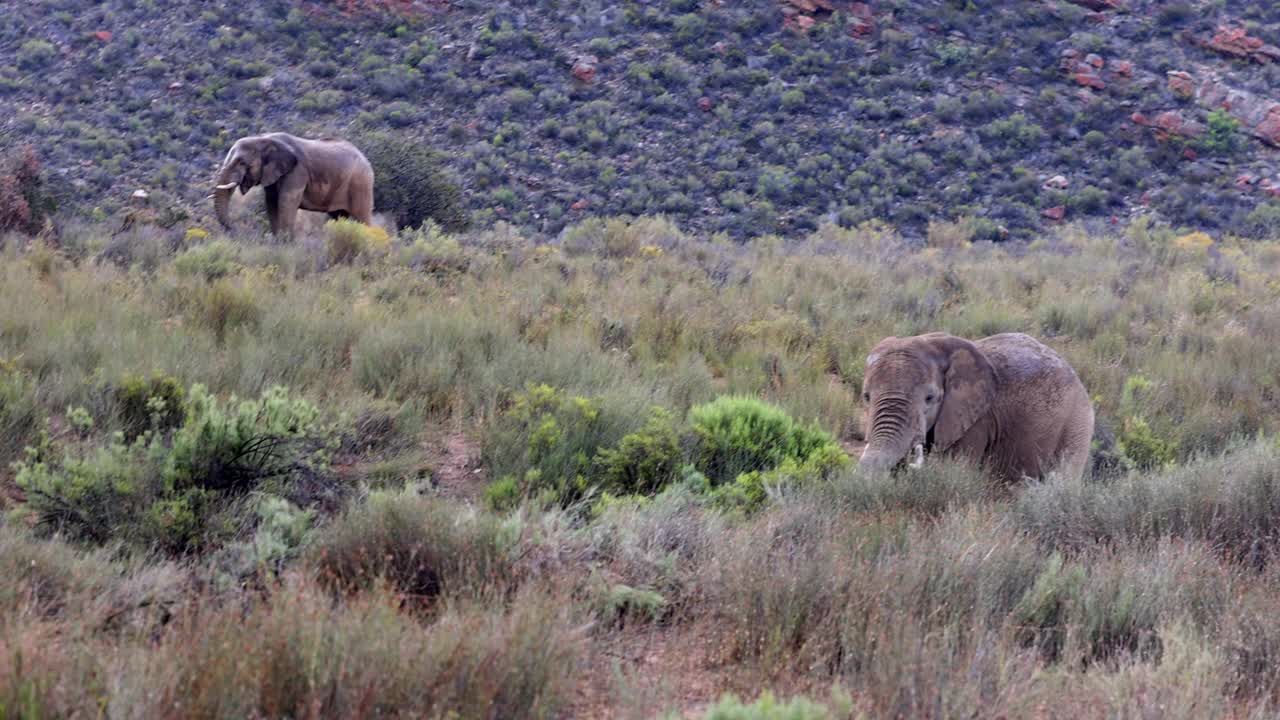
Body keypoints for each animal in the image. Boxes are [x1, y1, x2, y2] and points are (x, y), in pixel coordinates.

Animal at [211, 131, 373, 238]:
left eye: (242, 163)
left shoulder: (297, 171)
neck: (263, 138)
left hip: (360, 183)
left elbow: (286, 202)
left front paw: (286, 244)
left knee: (361, 217)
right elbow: (272, 203)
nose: (232, 229)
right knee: (339, 216)